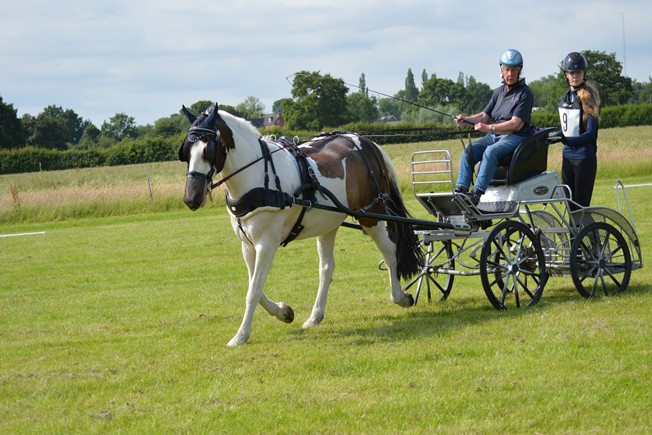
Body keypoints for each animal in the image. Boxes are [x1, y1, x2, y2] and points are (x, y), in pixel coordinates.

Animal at [178, 103, 422, 346]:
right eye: (186, 151)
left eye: (207, 150)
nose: (192, 198)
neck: (258, 176)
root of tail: (364, 141)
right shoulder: (248, 246)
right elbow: (254, 287)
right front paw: (284, 311)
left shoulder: (266, 245)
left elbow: (253, 291)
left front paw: (241, 335)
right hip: (328, 223)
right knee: (327, 267)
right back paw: (315, 316)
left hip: (372, 213)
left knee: (389, 251)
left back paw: (400, 297)